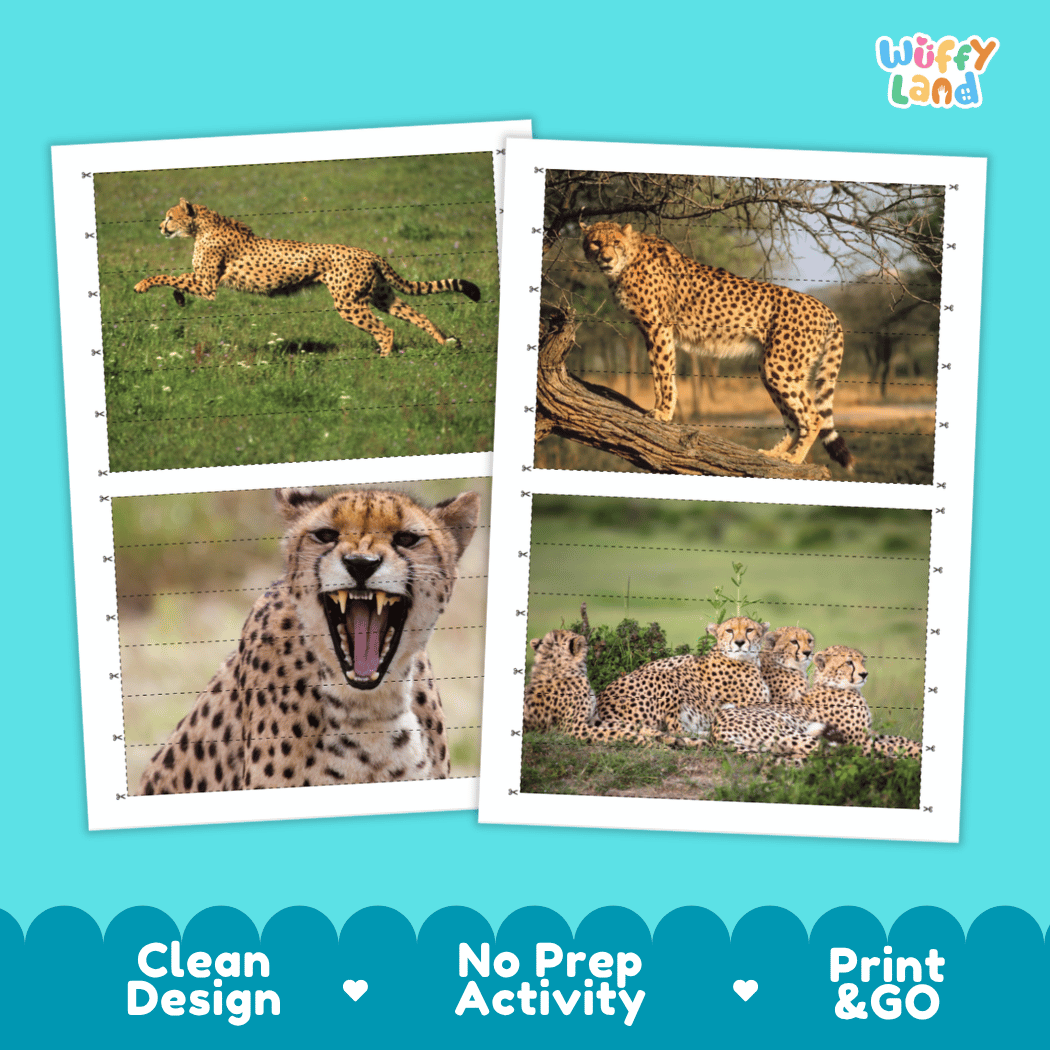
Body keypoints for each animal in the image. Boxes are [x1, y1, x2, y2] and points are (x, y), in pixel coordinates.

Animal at [133, 198, 481, 356]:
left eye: (169, 216)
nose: (161, 227)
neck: (202, 226)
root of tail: (368, 251)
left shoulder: (206, 284)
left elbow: (165, 276)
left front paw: (141, 285)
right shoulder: (202, 282)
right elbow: (176, 282)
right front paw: (178, 299)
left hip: (349, 304)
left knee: (385, 329)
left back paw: (384, 359)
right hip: (381, 296)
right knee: (418, 315)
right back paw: (446, 343)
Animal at [580, 221, 856, 470]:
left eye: (616, 243)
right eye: (596, 242)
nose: (606, 258)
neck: (627, 261)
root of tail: (823, 306)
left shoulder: (659, 327)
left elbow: (664, 373)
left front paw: (663, 413)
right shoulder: (650, 331)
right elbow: (659, 374)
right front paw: (659, 409)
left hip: (780, 366)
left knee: (814, 415)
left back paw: (794, 459)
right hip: (772, 368)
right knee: (794, 419)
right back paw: (774, 454)